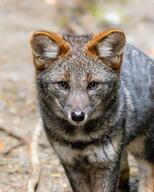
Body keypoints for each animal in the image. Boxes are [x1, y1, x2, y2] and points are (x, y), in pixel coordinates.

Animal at [29, 28, 154, 192]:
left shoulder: (106, 163)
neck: (80, 140)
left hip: (143, 151)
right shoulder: (70, 163)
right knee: (126, 171)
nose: (77, 116)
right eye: (63, 84)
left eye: (93, 85)